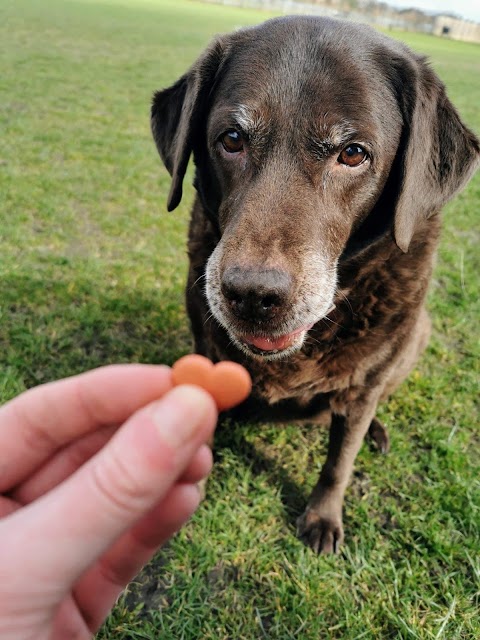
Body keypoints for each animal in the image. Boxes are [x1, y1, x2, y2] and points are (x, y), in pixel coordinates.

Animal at [151, 17, 480, 552]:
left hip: (415, 339)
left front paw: (323, 517)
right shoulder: (205, 346)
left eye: (353, 153)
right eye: (232, 138)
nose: (253, 295)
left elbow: (338, 461)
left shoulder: (365, 385)